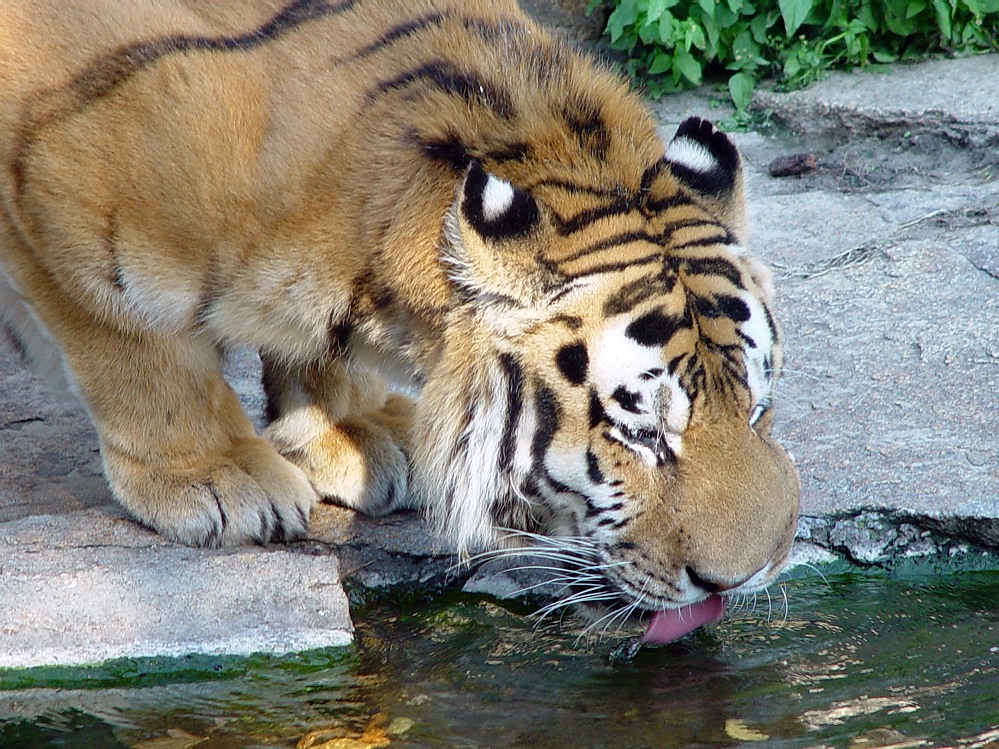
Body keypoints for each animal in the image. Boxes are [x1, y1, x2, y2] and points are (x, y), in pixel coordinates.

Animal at [0, 1, 796, 644]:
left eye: (758, 408)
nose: (744, 577)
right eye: (640, 433)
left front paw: (352, 429)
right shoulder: (55, 201)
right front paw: (218, 477)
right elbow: (137, 349)